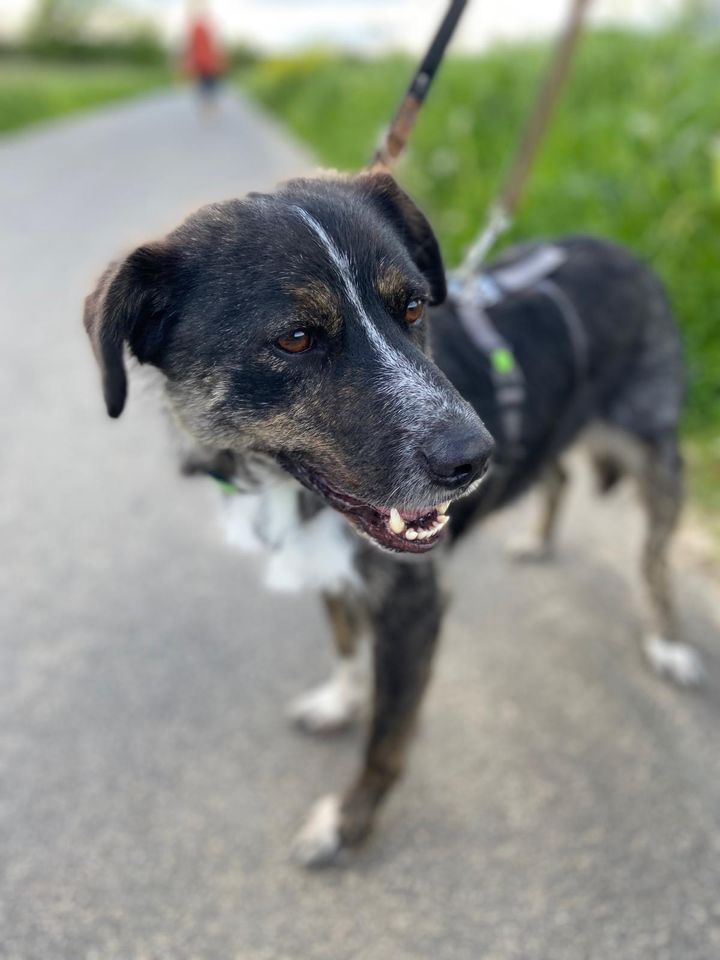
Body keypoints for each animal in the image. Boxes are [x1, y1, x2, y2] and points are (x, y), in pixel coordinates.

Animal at [83, 169, 696, 868]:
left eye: (413, 308)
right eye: (295, 338)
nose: (474, 458)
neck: (286, 486)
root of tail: (619, 248)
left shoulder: (414, 607)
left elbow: (386, 738)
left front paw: (347, 824)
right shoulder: (331, 569)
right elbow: (346, 642)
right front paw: (340, 700)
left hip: (658, 456)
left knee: (653, 558)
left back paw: (668, 644)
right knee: (558, 475)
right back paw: (538, 540)